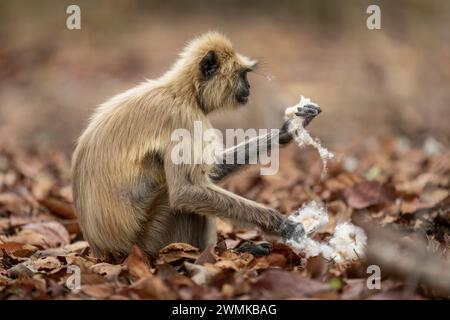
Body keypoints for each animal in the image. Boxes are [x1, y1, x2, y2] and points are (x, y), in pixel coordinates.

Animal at [72, 31, 320, 262]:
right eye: (242, 75)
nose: (249, 87)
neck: (183, 93)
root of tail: (103, 251)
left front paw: (287, 131)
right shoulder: (182, 117)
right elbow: (185, 192)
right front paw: (282, 224)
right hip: (150, 242)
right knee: (185, 205)